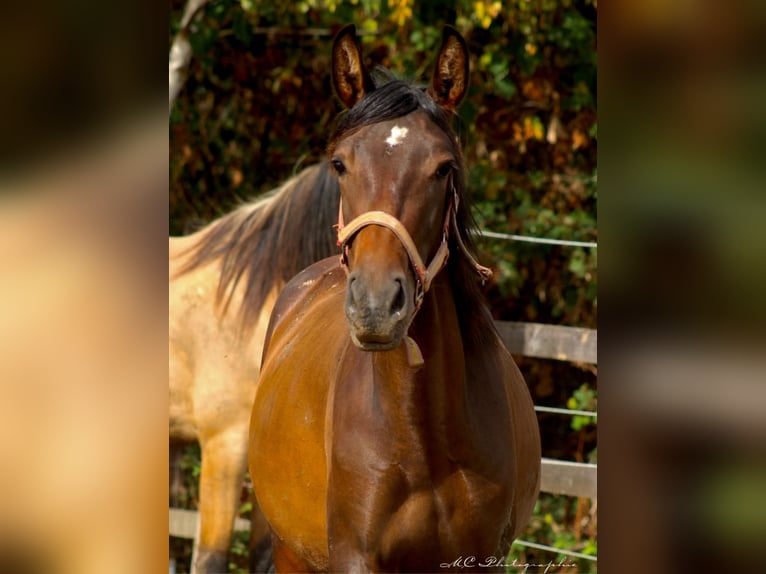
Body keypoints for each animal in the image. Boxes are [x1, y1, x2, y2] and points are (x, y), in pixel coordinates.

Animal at [249, 24, 544, 572]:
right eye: (340, 163)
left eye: (443, 168)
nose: (376, 305)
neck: (419, 436)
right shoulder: (354, 556)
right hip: (289, 550)